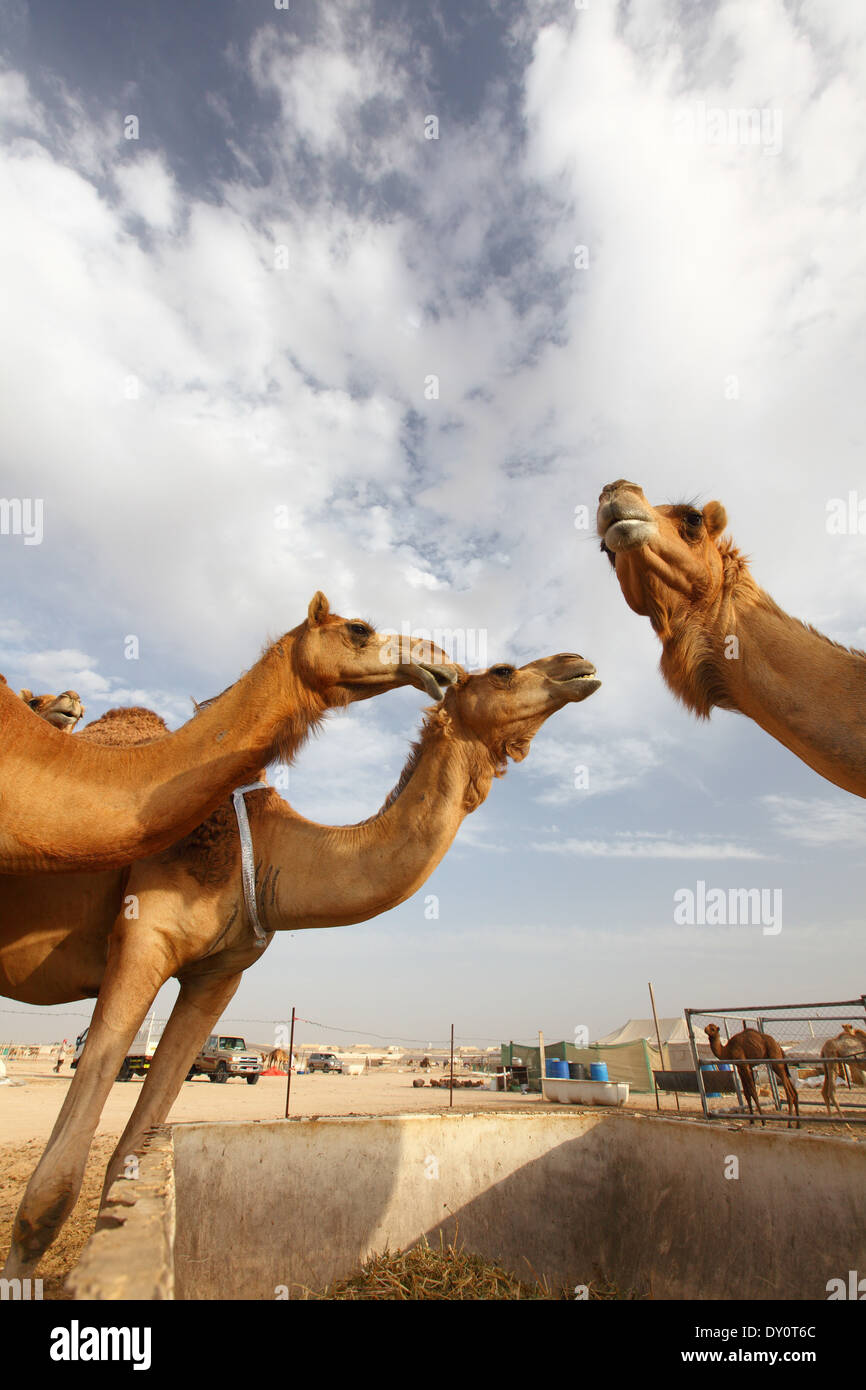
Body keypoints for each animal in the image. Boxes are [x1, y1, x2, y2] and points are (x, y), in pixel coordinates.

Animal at [0, 650, 600, 1273]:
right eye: (504, 671)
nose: (577, 663)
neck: (264, 851)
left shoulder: (220, 975)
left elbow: (129, 1162)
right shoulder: (143, 940)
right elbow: (51, 1192)